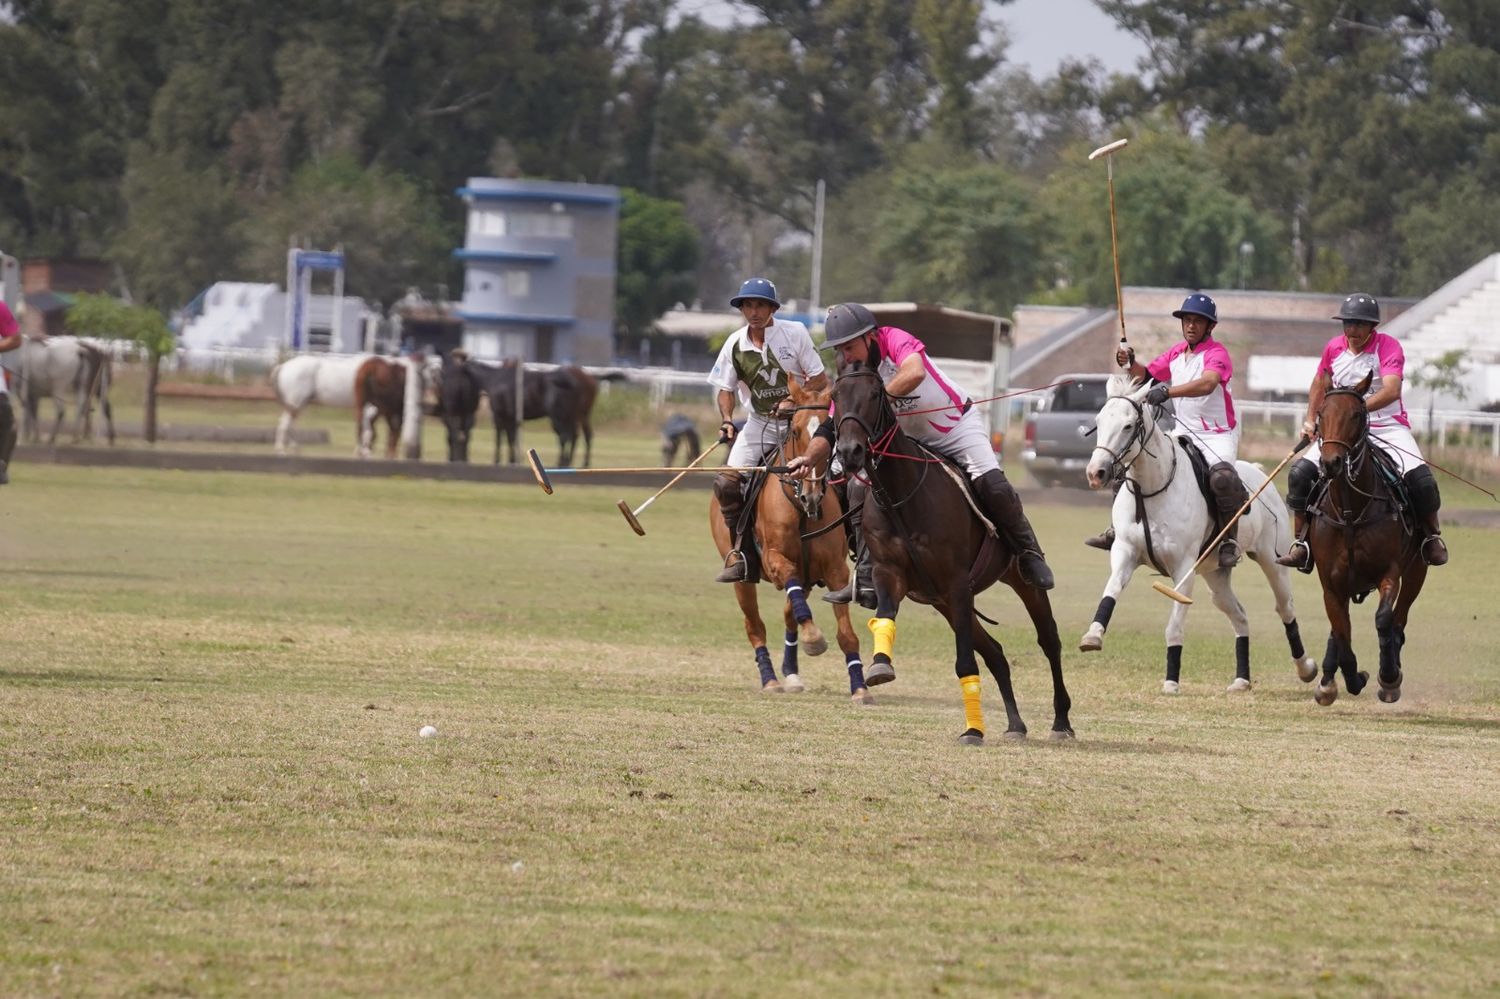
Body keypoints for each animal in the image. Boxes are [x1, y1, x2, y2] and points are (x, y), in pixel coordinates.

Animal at [268, 352, 435, 456]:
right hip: (295, 402)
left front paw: (361, 450)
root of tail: (283, 366)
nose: (430, 395)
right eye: (431, 371)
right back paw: (281, 450)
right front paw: (364, 451)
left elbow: (368, 430)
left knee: (289, 424)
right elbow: (368, 431)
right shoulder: (371, 409)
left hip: (298, 404)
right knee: (285, 423)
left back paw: (294, 448)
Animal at [828, 361, 1074, 744]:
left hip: (1018, 581)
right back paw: (1015, 725)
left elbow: (964, 662)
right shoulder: (891, 574)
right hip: (944, 602)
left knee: (1049, 640)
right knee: (996, 653)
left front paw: (972, 731)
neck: (901, 497)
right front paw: (881, 664)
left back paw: (1061, 720)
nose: (850, 452)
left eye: (875, 394)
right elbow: (885, 613)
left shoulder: (957, 582)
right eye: (835, 396)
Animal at [1080, 373, 1314, 693]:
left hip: (1272, 559)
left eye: (1128, 425)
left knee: (1285, 607)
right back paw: (1241, 679)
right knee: (1239, 615)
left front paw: (1171, 681)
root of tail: (1258, 472)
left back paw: (1306, 668)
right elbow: (1111, 591)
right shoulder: (1125, 551)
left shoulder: (1183, 567)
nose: (1096, 473)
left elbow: (1175, 626)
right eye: (1099, 421)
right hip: (1215, 573)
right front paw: (1093, 636)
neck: (1152, 488)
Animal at [1302, 369, 1428, 705]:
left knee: (1400, 618)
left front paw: (1388, 676)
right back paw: (1328, 680)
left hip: (1418, 570)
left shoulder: (1391, 571)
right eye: (1321, 413)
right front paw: (1348, 678)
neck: (1350, 512)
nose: (1331, 463)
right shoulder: (1330, 583)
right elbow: (1341, 632)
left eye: (1357, 414)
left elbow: (1384, 619)